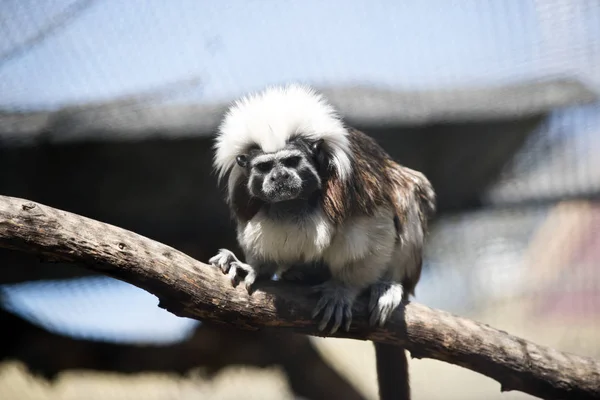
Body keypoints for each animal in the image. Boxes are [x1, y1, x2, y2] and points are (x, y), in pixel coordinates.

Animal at [209, 84, 434, 400]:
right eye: (264, 167)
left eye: (291, 162)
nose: (280, 176)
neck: (295, 202)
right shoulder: (245, 194)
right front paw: (252, 267)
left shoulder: (354, 185)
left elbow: (375, 232)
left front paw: (343, 289)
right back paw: (300, 274)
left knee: (408, 189)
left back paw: (389, 286)